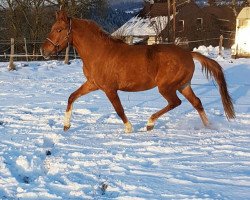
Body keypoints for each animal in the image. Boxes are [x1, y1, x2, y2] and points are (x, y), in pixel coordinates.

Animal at [40, 10, 234, 133]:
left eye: (58, 29)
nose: (44, 51)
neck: (98, 52)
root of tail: (188, 53)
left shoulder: (109, 89)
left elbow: (119, 109)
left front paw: (129, 128)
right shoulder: (92, 84)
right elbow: (72, 97)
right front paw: (66, 126)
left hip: (167, 87)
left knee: (175, 103)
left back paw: (150, 123)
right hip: (183, 85)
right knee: (197, 103)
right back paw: (208, 126)